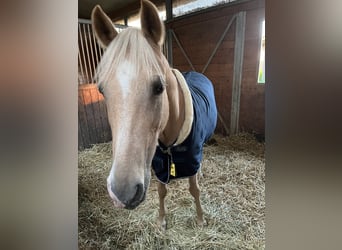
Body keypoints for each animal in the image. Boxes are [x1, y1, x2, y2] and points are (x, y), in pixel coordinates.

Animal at [91, 0, 216, 229]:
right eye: (102, 90)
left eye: (159, 87)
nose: (123, 193)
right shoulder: (157, 163)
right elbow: (161, 190)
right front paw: (161, 220)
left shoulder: (193, 156)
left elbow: (194, 189)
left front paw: (201, 219)